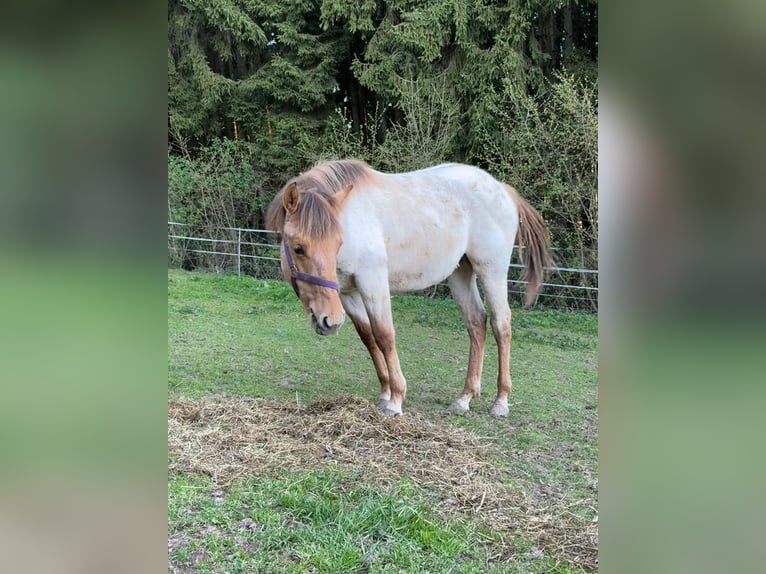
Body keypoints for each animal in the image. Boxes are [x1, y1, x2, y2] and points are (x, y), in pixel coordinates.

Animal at [266, 160, 553, 417]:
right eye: (299, 248)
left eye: (337, 243)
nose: (329, 321)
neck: (350, 217)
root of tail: (502, 189)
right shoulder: (347, 294)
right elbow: (368, 337)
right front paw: (385, 392)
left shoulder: (373, 280)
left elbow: (384, 335)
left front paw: (396, 399)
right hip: (461, 272)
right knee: (476, 323)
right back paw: (465, 398)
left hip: (491, 270)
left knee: (501, 324)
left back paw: (501, 401)